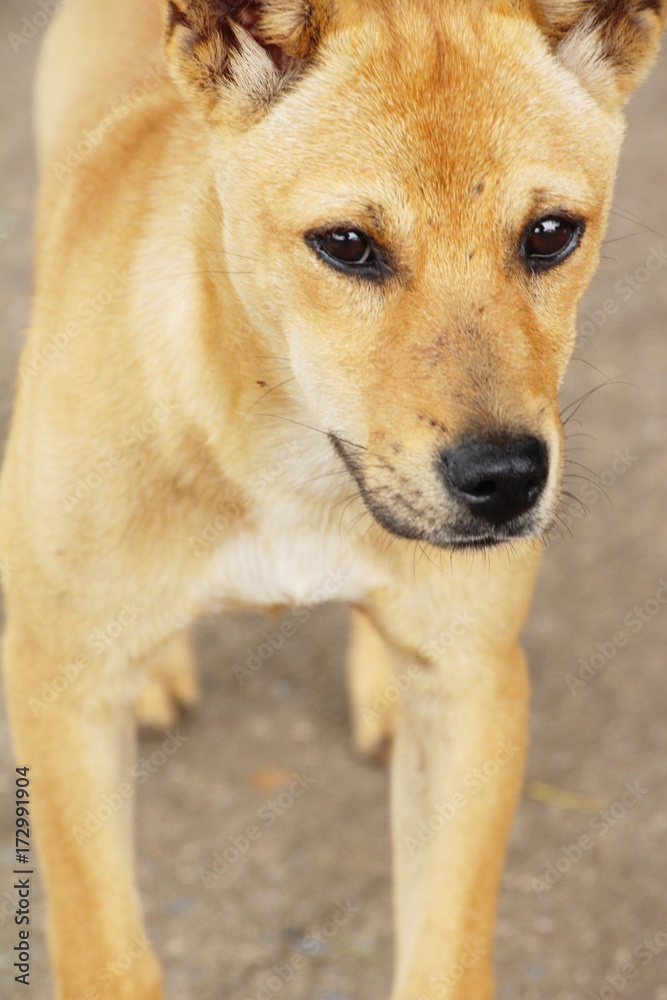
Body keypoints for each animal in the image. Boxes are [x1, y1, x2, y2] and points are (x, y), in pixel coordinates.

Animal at [2, 1, 664, 1000]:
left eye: (550, 232)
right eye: (346, 245)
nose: (504, 481)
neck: (289, 460)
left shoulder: (471, 690)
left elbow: (444, 958)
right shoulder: (61, 690)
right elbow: (106, 953)